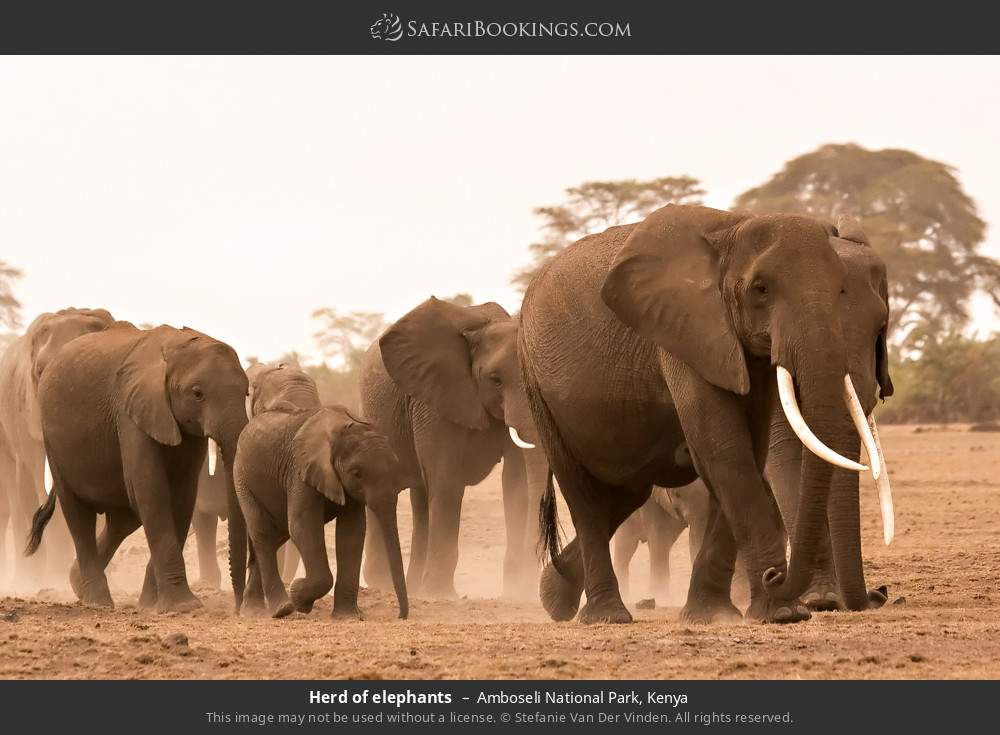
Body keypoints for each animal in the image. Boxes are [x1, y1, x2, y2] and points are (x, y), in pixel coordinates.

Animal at [25, 322, 249, 612]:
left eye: (247, 392)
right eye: (197, 393)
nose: (238, 607)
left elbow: (182, 497)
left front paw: (150, 605)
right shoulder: (131, 412)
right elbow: (152, 492)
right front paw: (183, 607)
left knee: (123, 519)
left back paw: (78, 586)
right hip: (53, 441)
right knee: (78, 514)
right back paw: (98, 602)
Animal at [232, 364, 408, 619]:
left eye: (395, 465)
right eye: (356, 473)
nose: (401, 616)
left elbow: (352, 532)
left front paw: (347, 617)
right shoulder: (299, 469)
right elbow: (304, 526)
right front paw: (299, 598)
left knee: (276, 535)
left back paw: (253, 611)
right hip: (243, 480)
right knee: (264, 534)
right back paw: (280, 609)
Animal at [359, 296, 547, 600]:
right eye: (495, 379)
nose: (531, 588)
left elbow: (516, 483)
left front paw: (515, 592)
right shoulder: (433, 397)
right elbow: (447, 480)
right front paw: (441, 596)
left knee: (421, 496)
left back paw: (414, 588)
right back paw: (385, 585)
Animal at [519, 203, 893, 624]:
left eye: (881, 325)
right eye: (760, 289)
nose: (879, 594)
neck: (734, 228)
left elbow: (745, 452)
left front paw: (714, 613)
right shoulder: (685, 331)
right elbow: (727, 451)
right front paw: (790, 610)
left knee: (625, 493)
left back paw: (555, 596)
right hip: (537, 384)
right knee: (583, 493)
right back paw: (607, 616)